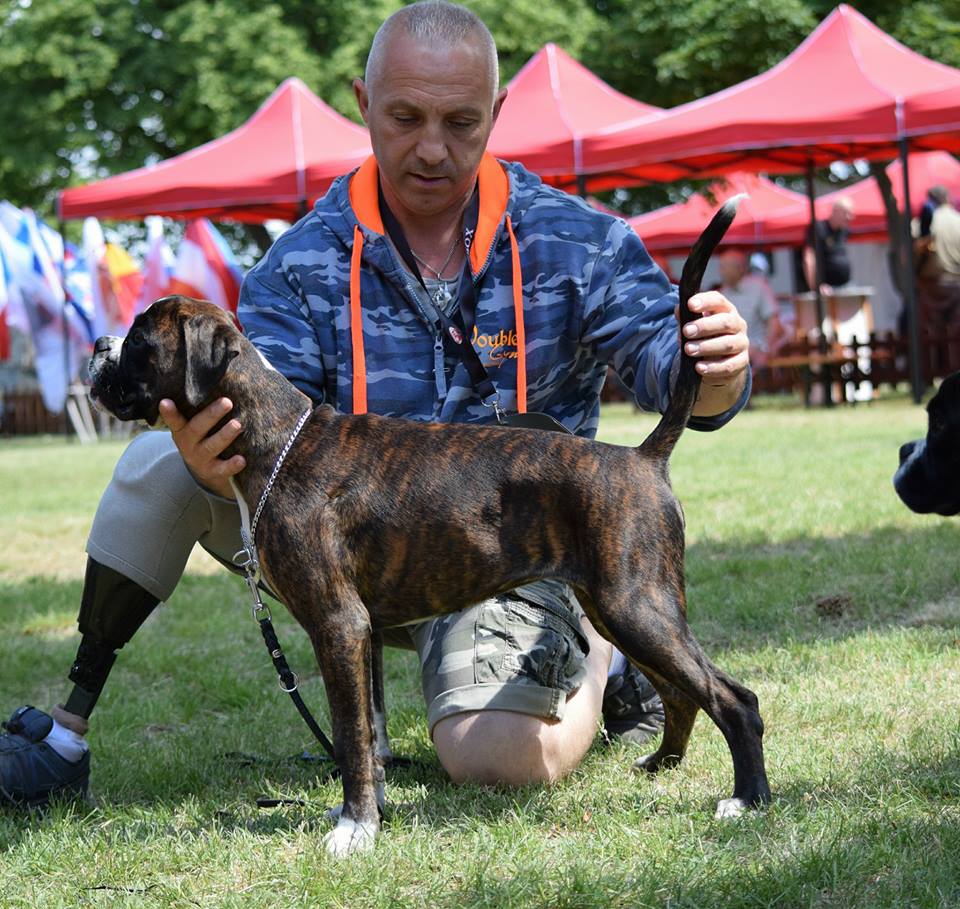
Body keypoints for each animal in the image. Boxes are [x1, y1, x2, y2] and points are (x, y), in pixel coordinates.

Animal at [86, 197, 768, 852]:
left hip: (636, 608)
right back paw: (663, 763)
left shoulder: (337, 624)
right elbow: (367, 735)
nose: (97, 347)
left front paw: (354, 830)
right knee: (683, 692)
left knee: (734, 699)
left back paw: (747, 801)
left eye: (140, 341)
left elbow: (352, 737)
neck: (278, 438)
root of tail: (641, 456)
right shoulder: (358, 636)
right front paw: (367, 815)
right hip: (620, 610)